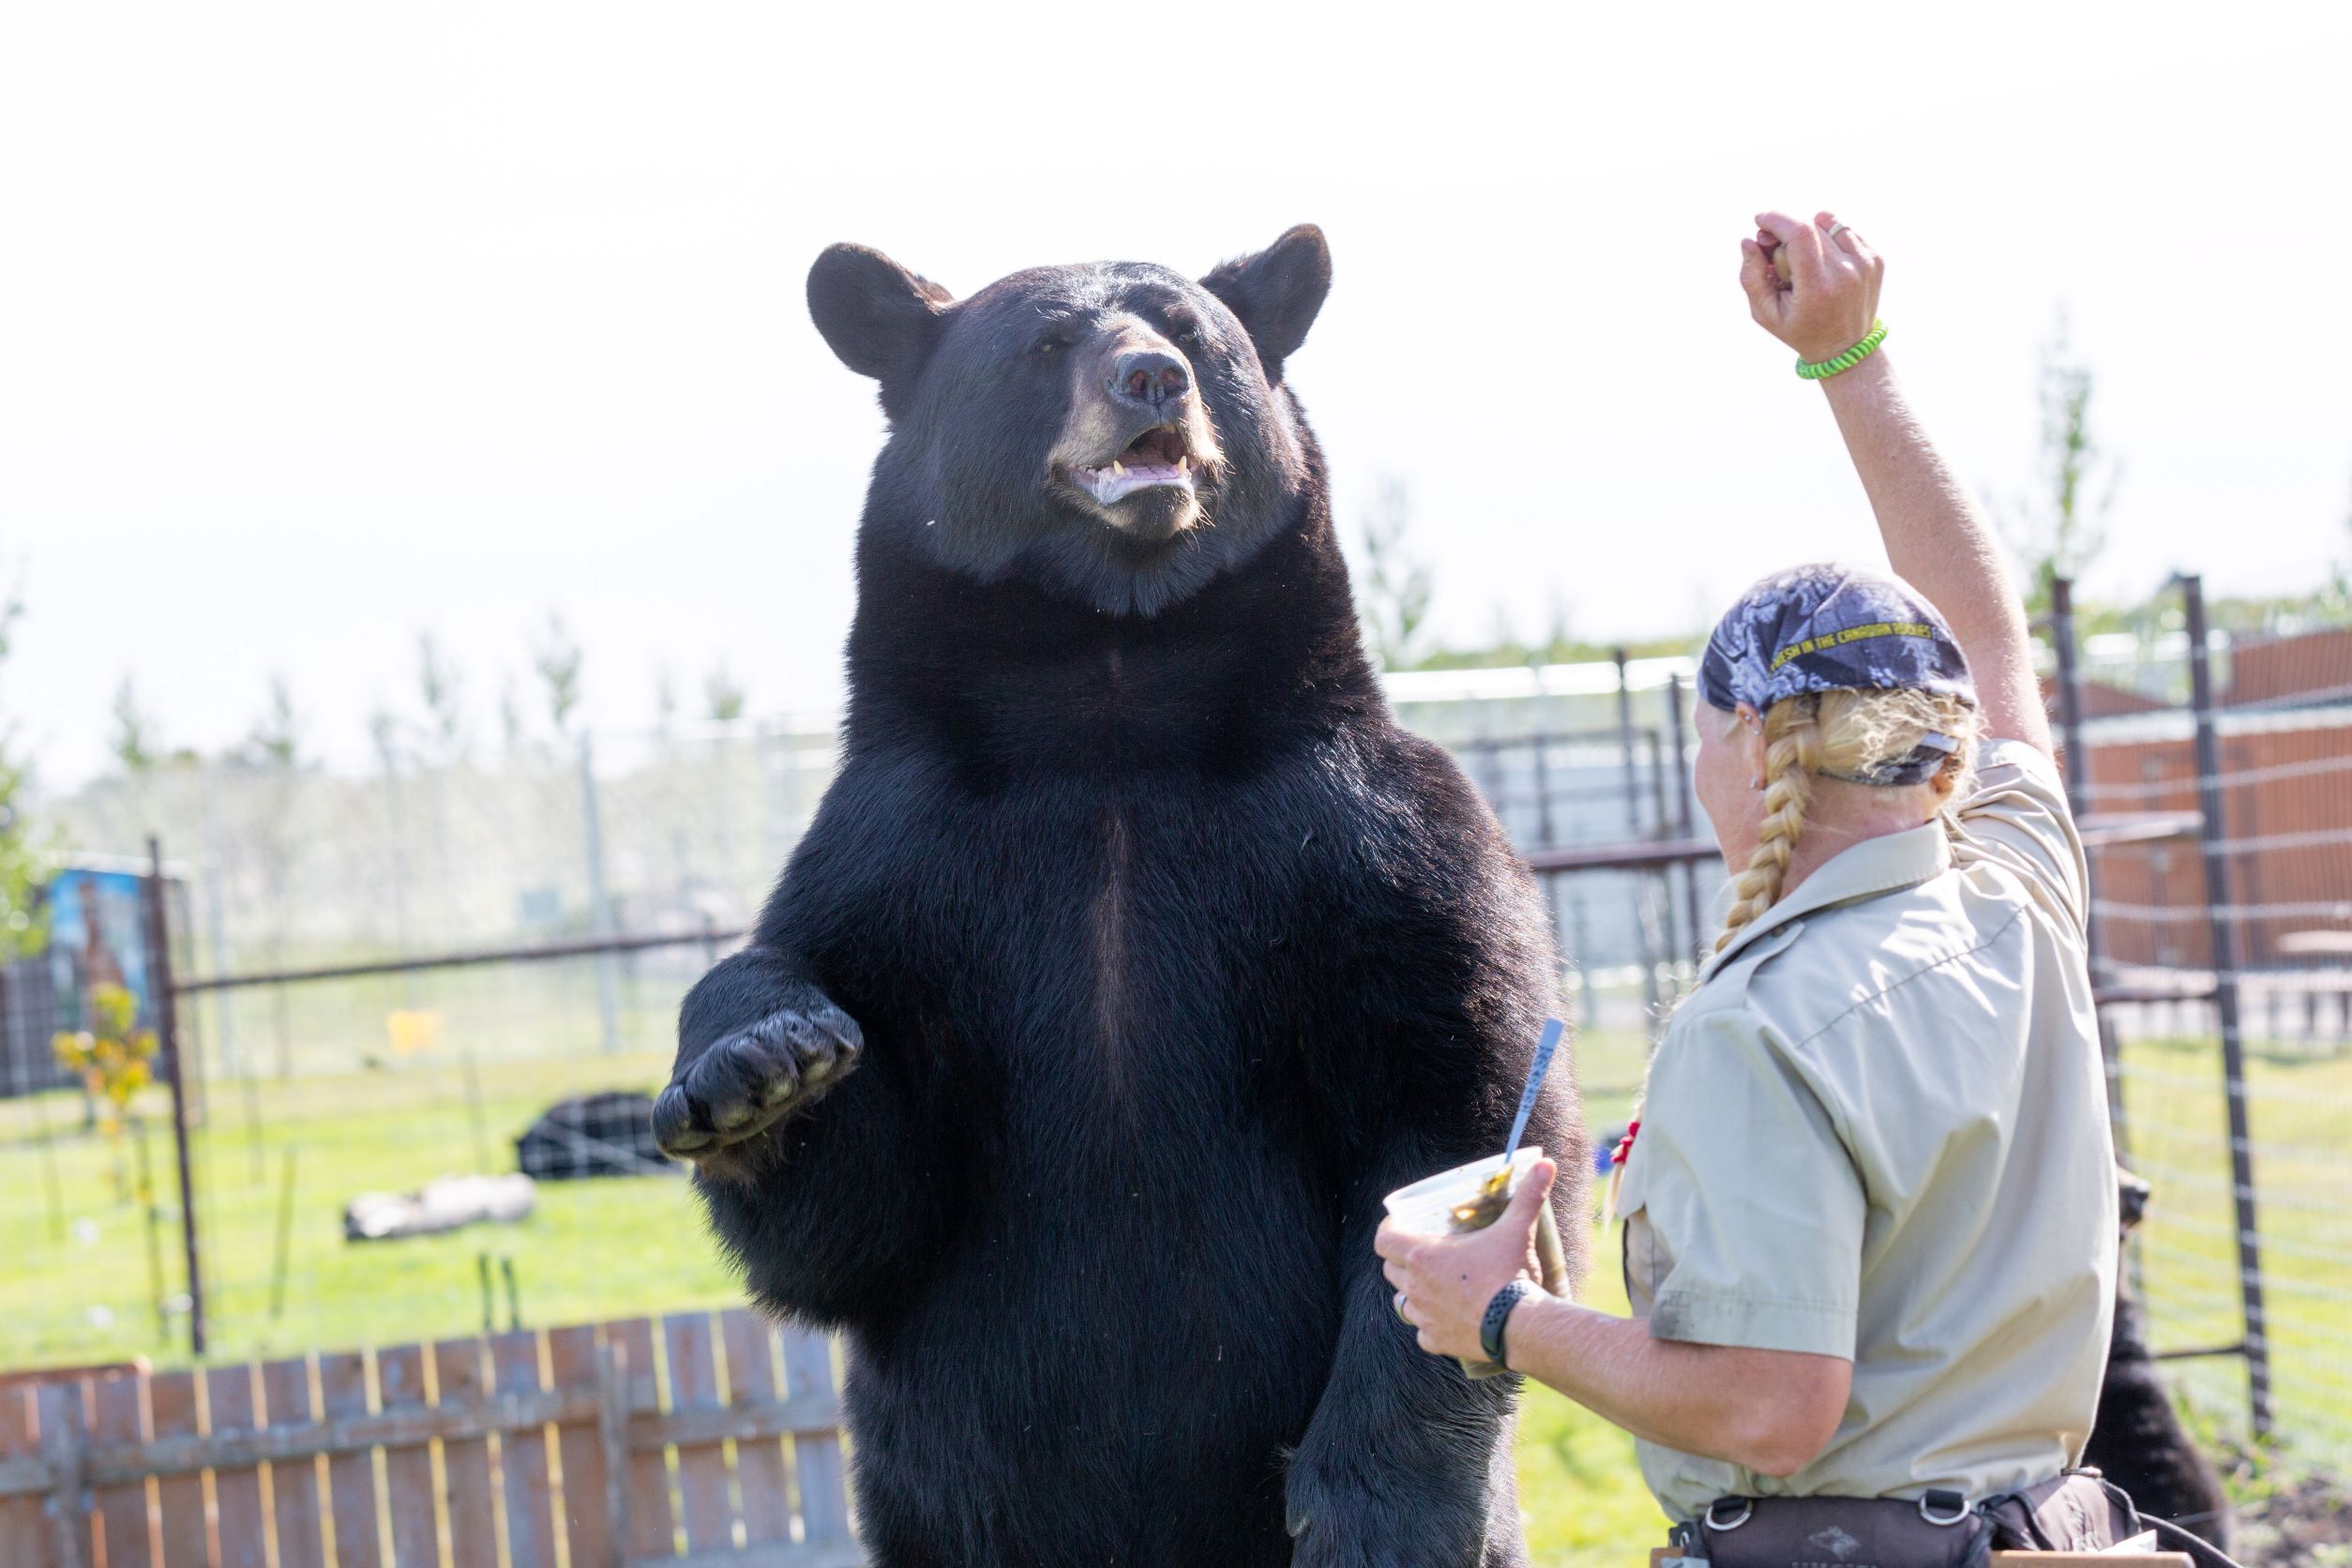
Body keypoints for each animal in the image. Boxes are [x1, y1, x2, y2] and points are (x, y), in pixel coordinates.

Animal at [654, 226, 1590, 1568]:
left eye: (1193, 334)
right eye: (1050, 344)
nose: (1153, 378)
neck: (1110, 702)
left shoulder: (1378, 839)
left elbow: (1451, 1089)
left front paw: (1373, 1509)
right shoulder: (891, 855)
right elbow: (856, 1220)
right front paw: (760, 1066)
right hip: (937, 1510)